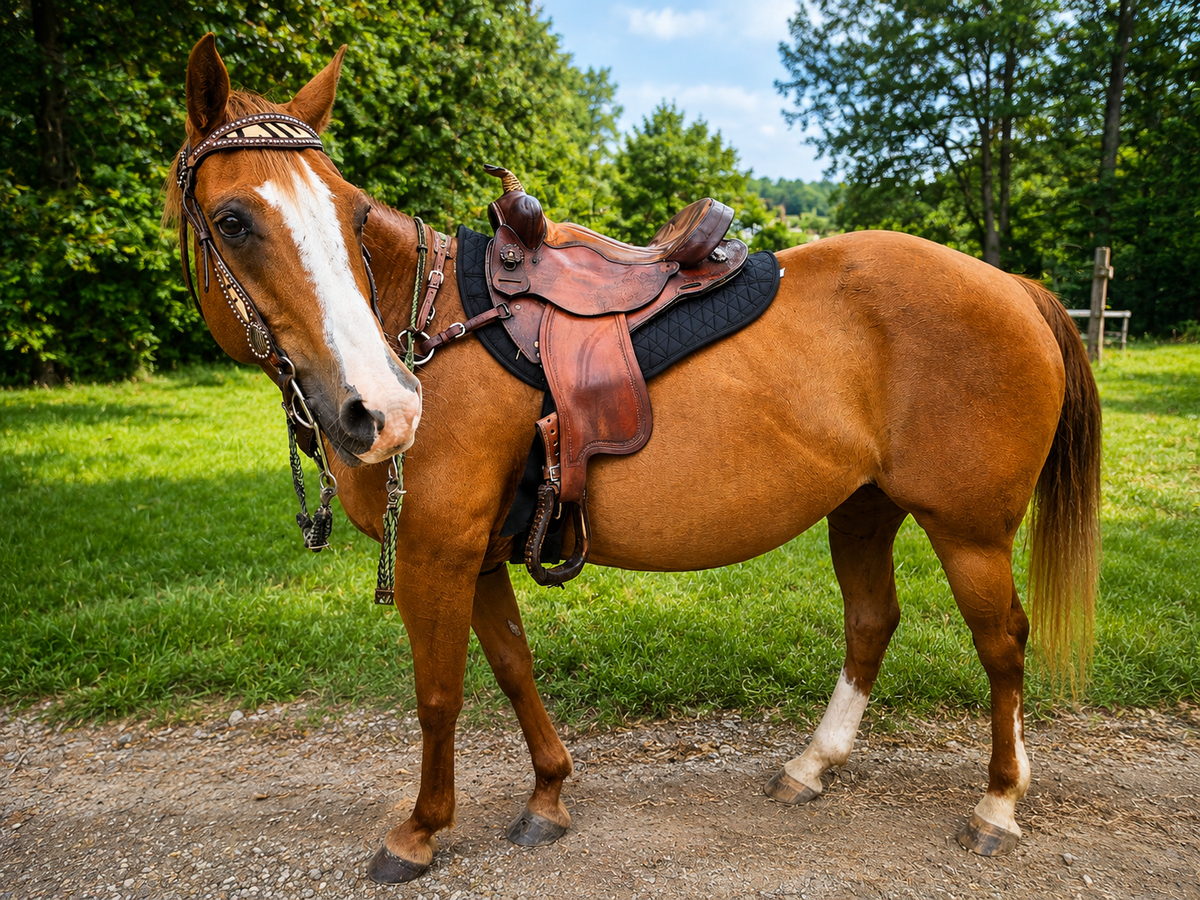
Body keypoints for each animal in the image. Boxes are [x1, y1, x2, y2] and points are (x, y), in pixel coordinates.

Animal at [164, 35, 1101, 883]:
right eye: (233, 221)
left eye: (353, 215)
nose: (382, 409)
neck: (425, 326)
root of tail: (1015, 287)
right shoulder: (477, 556)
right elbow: (513, 667)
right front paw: (548, 794)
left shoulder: (438, 554)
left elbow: (439, 696)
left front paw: (422, 830)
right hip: (864, 508)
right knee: (873, 620)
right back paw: (814, 766)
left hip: (969, 532)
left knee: (1002, 645)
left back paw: (998, 802)